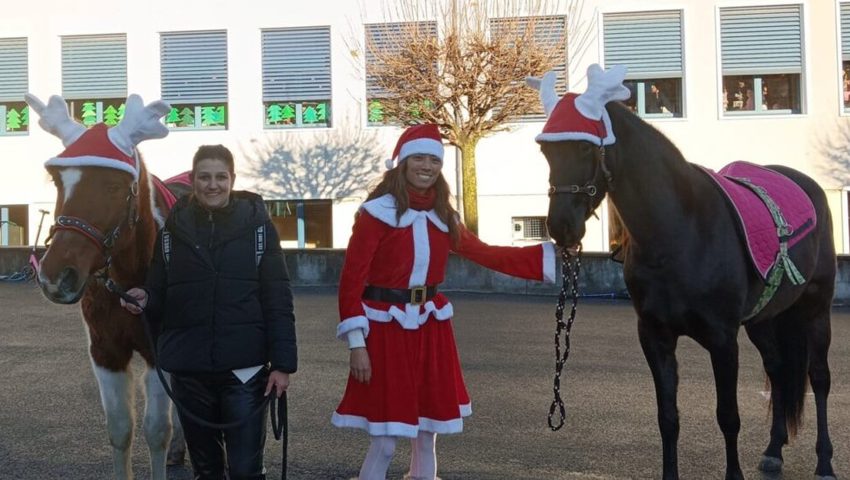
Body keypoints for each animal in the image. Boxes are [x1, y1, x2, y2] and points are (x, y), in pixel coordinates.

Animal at [25, 94, 185, 480]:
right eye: (58, 181)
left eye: (114, 186)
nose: (56, 275)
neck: (130, 279)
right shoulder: (105, 352)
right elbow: (120, 429)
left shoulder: (159, 352)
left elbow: (156, 431)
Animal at [528, 67, 836, 480]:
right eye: (546, 151)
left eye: (584, 148)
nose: (562, 227)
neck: (680, 231)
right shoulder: (656, 337)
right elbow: (668, 418)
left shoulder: (723, 340)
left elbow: (728, 417)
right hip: (763, 320)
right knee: (777, 370)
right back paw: (773, 451)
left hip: (816, 309)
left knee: (819, 378)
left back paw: (824, 462)